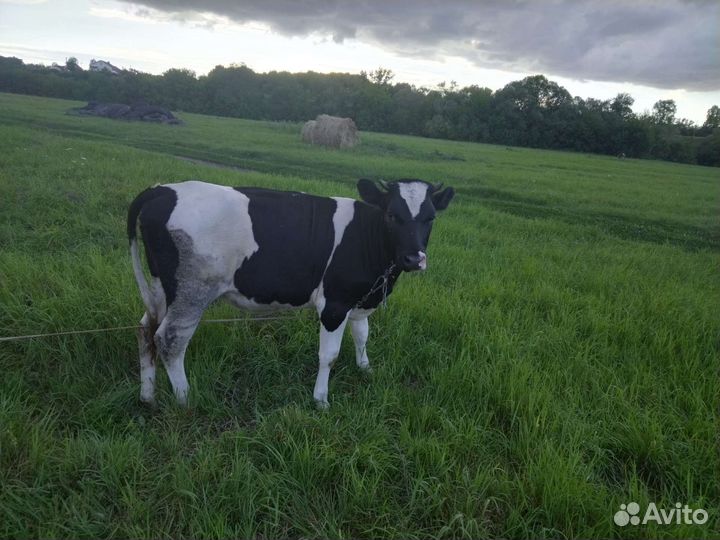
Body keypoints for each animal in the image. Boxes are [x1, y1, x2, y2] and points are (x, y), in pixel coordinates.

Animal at [127, 178, 454, 408]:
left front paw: (366, 370)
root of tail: (162, 190)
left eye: (431, 218)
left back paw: (147, 396)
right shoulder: (334, 304)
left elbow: (362, 335)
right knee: (169, 339)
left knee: (146, 329)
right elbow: (329, 355)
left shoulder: (358, 299)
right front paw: (321, 399)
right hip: (192, 291)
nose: (414, 258)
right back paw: (185, 399)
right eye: (391, 215)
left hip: (162, 288)